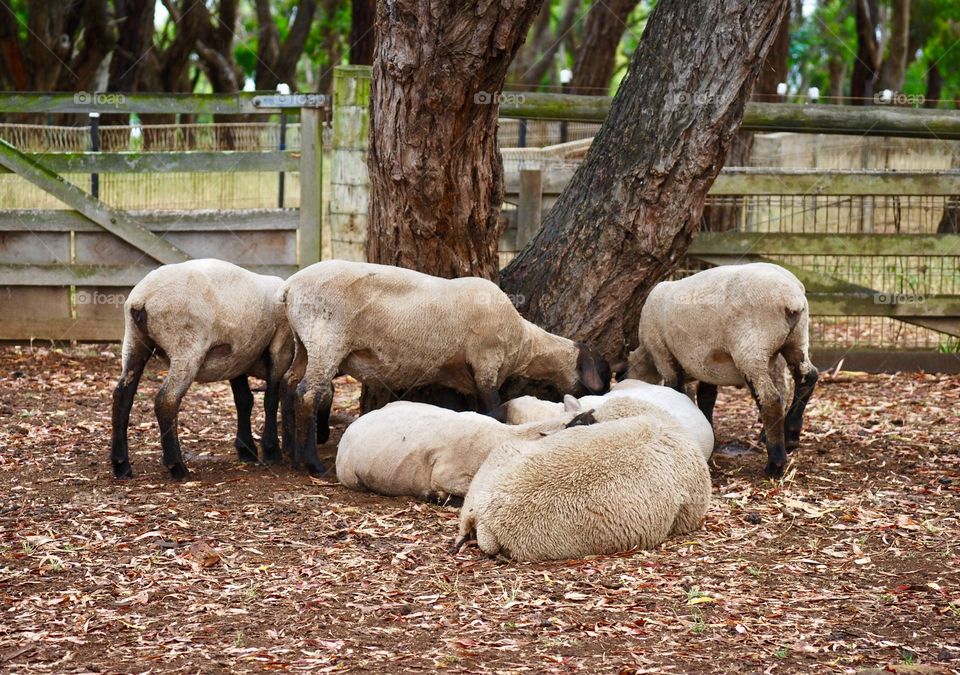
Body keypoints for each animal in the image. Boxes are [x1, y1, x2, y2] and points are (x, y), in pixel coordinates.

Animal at [110, 259, 293, 480]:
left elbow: (244, 401)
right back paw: (177, 467)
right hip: (186, 347)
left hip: (134, 341)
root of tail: (142, 298)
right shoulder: (281, 346)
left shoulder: (237, 357)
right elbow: (271, 399)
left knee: (122, 396)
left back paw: (121, 465)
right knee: (166, 400)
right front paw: (272, 451)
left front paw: (246, 450)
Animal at [279, 260, 611, 475]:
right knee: (309, 393)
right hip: (326, 337)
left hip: (304, 341)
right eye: (604, 374)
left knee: (289, 383)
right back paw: (312, 463)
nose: (605, 396)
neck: (523, 342)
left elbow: (463, 408)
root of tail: (289, 288)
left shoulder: (458, 377)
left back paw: (290, 455)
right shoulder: (486, 363)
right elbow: (493, 409)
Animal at [625, 262, 819, 477]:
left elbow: (677, 392)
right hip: (796, 340)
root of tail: (791, 297)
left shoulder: (663, 355)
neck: (646, 356)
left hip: (751, 348)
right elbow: (706, 398)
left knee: (770, 399)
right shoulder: (707, 366)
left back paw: (775, 462)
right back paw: (791, 434)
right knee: (808, 376)